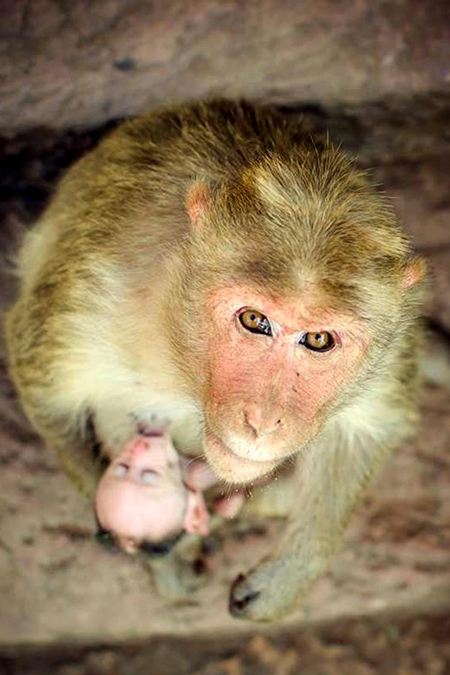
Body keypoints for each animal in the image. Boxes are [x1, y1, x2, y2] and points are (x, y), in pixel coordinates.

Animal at [5, 100, 426, 624]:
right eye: (254, 320)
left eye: (319, 339)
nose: (263, 421)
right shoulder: (92, 293)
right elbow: (44, 393)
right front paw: (134, 527)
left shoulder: (393, 336)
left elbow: (370, 427)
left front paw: (290, 574)